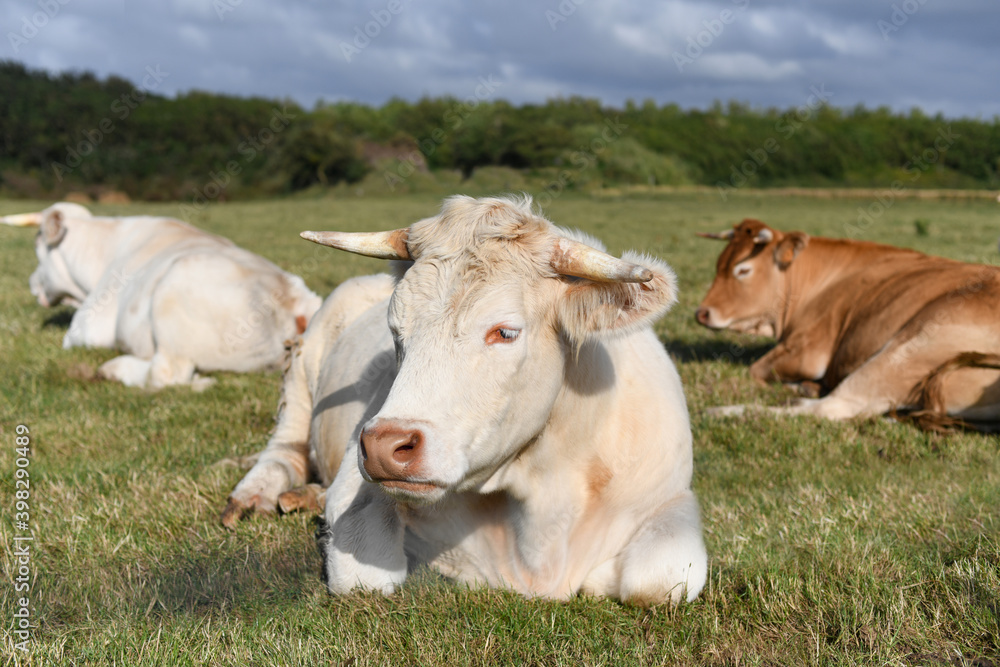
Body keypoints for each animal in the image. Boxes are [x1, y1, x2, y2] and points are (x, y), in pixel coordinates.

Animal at [0, 204, 320, 392]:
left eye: (37, 244)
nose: (31, 284)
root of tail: (293, 298)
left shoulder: (86, 328)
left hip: (173, 298)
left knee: (164, 374)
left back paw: (116, 369)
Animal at [223, 196, 708, 608]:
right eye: (395, 330)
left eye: (505, 332)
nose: (383, 446)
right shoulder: (353, 493)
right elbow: (366, 577)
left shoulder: (670, 498)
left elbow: (662, 579)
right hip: (301, 372)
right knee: (283, 447)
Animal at [696, 219, 1000, 428]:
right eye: (718, 264)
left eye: (742, 270)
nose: (701, 313)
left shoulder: (808, 348)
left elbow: (755, 369)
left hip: (908, 348)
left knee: (831, 407)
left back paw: (724, 411)